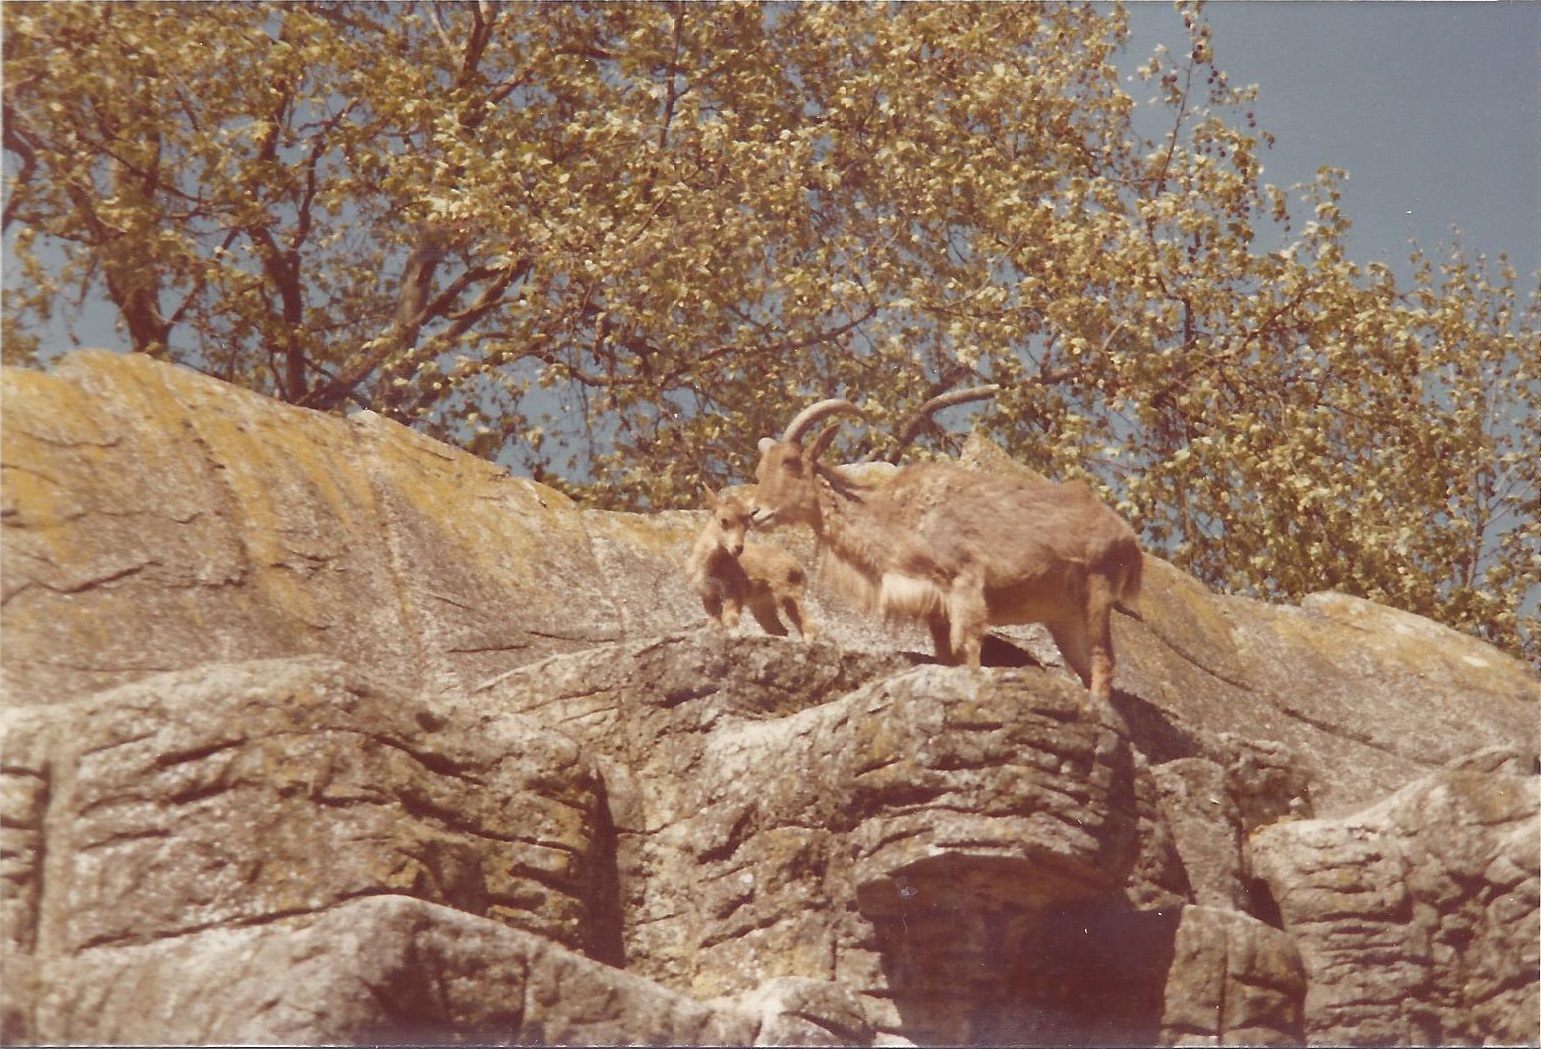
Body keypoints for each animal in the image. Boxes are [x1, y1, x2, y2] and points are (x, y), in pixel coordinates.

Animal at [686, 489, 818, 641]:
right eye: (724, 520)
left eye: (746, 526)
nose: (738, 548)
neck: (709, 565)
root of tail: (799, 567)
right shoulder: (708, 595)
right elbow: (715, 623)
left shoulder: (734, 590)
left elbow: (730, 616)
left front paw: (735, 635)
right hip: (763, 607)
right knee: (781, 629)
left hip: (790, 596)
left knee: (808, 625)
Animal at [749, 396, 1142, 699]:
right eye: (760, 469)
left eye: (791, 462)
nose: (756, 513)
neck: (896, 515)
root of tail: (1126, 536)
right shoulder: (935, 608)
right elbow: (946, 655)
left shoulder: (965, 585)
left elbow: (967, 648)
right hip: (1063, 617)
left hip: (1097, 592)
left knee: (1104, 661)